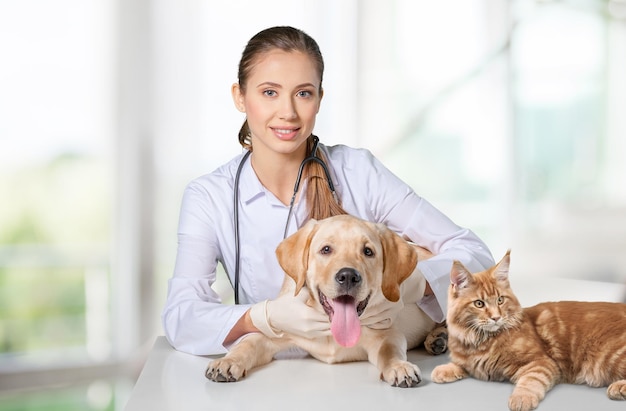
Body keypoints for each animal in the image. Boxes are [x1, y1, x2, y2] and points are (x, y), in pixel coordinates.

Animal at [205, 214, 444, 388]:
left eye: (368, 251)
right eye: (326, 249)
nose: (348, 276)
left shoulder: (387, 333)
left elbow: (390, 351)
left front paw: (399, 366)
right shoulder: (274, 331)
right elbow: (247, 343)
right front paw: (227, 362)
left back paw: (439, 337)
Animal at [432, 251, 624, 411]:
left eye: (500, 300)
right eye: (479, 303)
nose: (496, 317)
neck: (481, 341)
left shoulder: (540, 362)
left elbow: (530, 381)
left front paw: (521, 398)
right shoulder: (471, 361)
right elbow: (460, 364)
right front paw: (444, 370)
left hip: (610, 355)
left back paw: (619, 387)